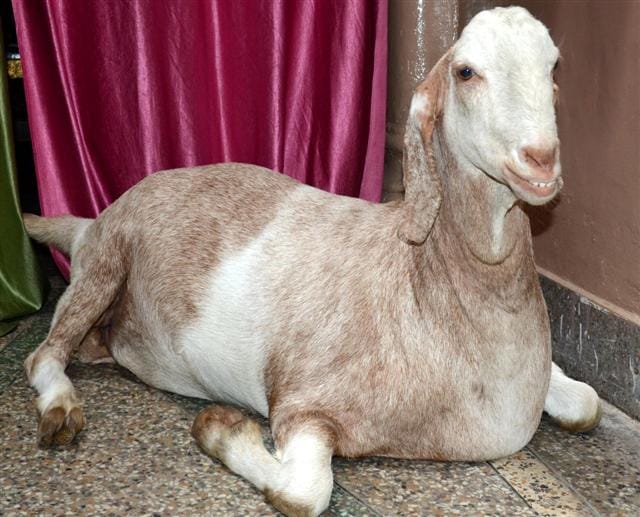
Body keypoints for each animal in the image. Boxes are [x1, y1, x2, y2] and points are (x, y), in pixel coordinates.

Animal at [23, 7, 601, 516]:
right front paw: (218, 427)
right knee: (43, 355)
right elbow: (305, 493)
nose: (540, 161)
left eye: (552, 66)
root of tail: (90, 222)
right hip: (101, 269)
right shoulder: (304, 407)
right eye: (466, 72)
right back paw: (60, 410)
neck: (420, 278)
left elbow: (588, 404)